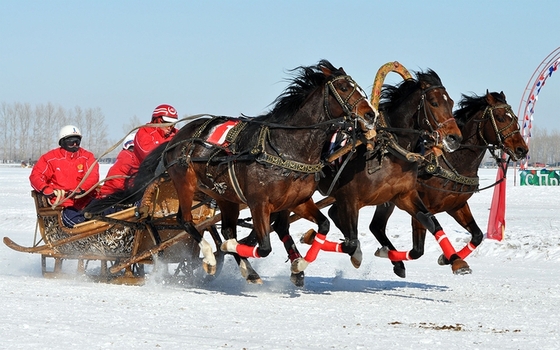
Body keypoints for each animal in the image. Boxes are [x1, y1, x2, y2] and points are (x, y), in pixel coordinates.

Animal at [296, 68, 474, 274]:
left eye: (451, 102)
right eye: (434, 102)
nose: (455, 138)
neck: (390, 150)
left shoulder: (404, 196)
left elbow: (432, 224)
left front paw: (456, 260)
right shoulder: (349, 198)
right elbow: (350, 242)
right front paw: (309, 239)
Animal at [370, 91, 528, 278]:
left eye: (515, 117)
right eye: (500, 117)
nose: (522, 149)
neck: (450, 162)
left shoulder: (457, 205)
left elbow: (477, 235)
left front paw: (447, 259)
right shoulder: (421, 205)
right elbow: (417, 250)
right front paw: (456, 262)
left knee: (376, 227)